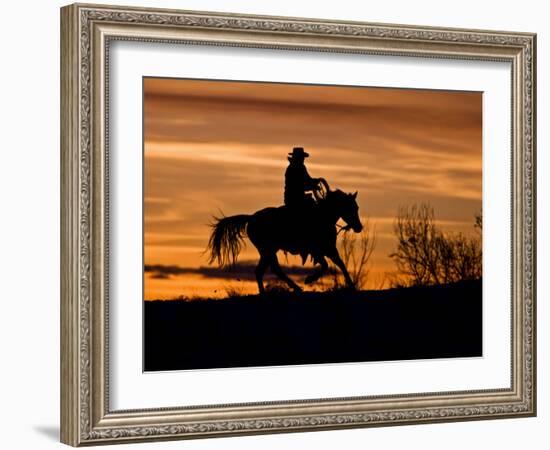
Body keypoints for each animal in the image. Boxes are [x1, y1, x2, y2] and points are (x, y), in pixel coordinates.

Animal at [209, 179, 364, 296]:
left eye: (357, 207)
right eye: (351, 207)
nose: (359, 227)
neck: (324, 216)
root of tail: (251, 218)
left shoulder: (329, 248)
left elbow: (340, 264)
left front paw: (352, 285)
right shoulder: (318, 250)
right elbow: (326, 265)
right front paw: (309, 279)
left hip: (267, 251)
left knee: (261, 270)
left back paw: (266, 292)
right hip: (268, 250)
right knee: (273, 269)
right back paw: (296, 288)